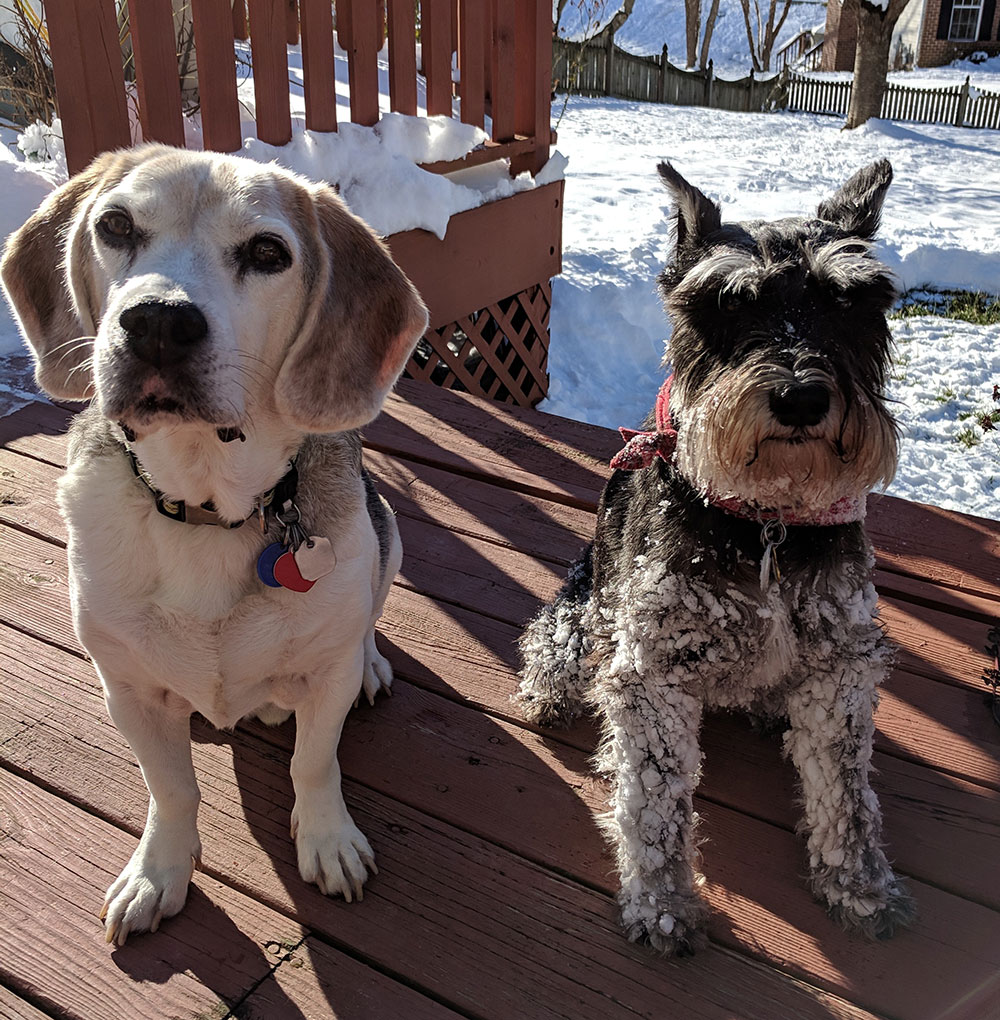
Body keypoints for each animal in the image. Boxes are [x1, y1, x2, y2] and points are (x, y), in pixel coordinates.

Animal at [1, 145, 430, 946]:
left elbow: (313, 763)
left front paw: (327, 839)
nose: (156, 323)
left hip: (389, 533)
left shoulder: (323, 676)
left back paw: (371, 665)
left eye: (267, 253)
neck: (206, 507)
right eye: (115, 225)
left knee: (366, 622)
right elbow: (170, 789)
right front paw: (158, 872)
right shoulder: (128, 690)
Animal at [520, 161, 918, 954]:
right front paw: (663, 903)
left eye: (851, 300)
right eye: (728, 304)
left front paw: (860, 887)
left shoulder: (839, 667)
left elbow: (847, 792)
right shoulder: (654, 670)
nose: (800, 398)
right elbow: (655, 801)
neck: (767, 523)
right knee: (549, 649)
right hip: (582, 616)